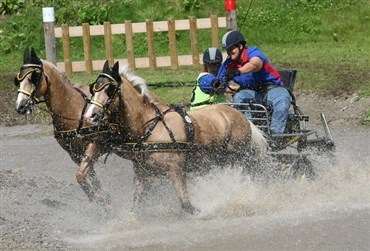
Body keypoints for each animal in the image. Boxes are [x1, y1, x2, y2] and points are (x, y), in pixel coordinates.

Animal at [14, 47, 113, 206]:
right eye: (18, 80)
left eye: (34, 76)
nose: (20, 106)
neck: (73, 110)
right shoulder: (74, 154)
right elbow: (88, 175)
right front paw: (102, 198)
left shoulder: (94, 145)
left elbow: (80, 175)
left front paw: (99, 198)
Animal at [85, 60, 268, 214]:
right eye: (94, 89)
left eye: (109, 89)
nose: (89, 116)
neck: (151, 127)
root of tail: (240, 115)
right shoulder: (143, 174)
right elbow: (135, 206)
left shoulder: (176, 170)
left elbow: (187, 205)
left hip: (240, 157)